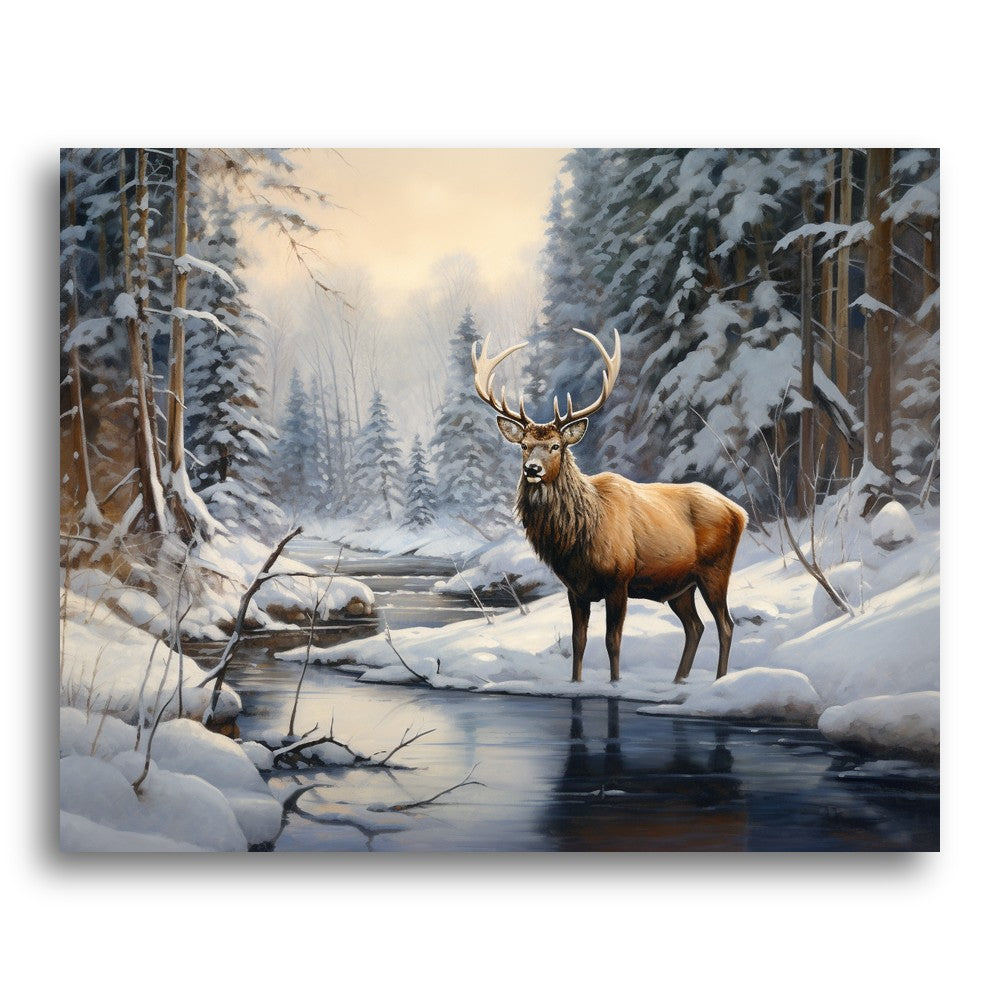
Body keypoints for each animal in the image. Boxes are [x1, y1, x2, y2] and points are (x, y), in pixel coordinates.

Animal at [472, 327, 748, 685]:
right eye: (524, 445)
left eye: (556, 445)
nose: (532, 469)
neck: (577, 536)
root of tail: (740, 512)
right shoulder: (574, 588)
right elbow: (578, 640)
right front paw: (575, 682)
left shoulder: (619, 579)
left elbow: (612, 640)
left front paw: (615, 683)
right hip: (680, 585)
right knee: (695, 626)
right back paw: (678, 680)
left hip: (715, 569)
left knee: (725, 624)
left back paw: (718, 679)